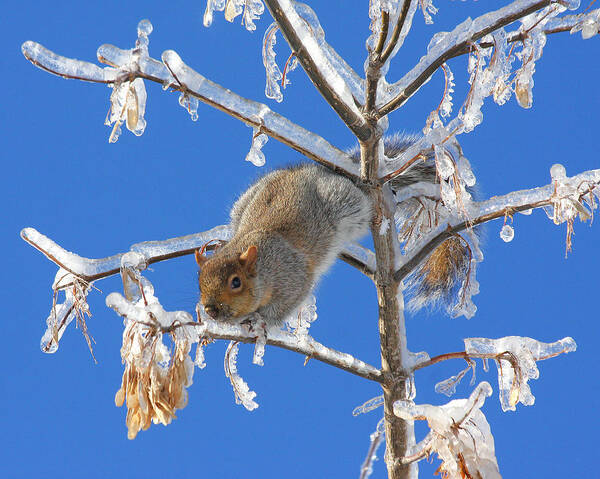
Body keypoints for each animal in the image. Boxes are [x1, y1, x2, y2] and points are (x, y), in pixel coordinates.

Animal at [197, 134, 474, 326]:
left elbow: (282, 307)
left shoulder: (292, 278)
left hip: (346, 204)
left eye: (236, 282)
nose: (210, 310)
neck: (264, 265)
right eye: (199, 282)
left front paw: (261, 321)